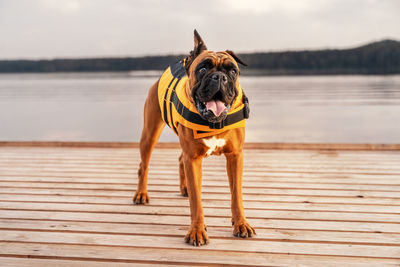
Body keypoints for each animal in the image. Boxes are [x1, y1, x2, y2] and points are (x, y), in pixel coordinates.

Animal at [133, 29, 255, 247]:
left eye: (232, 71)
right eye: (203, 68)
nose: (219, 77)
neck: (214, 121)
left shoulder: (235, 156)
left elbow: (236, 195)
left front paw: (241, 224)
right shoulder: (194, 159)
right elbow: (197, 201)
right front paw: (197, 231)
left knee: (180, 159)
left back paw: (184, 188)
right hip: (149, 133)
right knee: (143, 165)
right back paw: (141, 194)